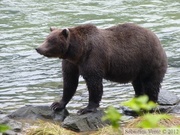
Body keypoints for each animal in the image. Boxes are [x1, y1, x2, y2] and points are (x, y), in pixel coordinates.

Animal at [35, 23, 167, 114]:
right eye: (46, 38)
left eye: (50, 40)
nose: (38, 48)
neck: (78, 52)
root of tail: (158, 40)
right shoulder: (71, 63)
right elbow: (69, 82)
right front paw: (57, 104)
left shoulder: (93, 57)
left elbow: (94, 83)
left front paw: (86, 108)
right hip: (137, 68)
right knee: (138, 84)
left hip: (149, 61)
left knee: (151, 84)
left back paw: (150, 104)